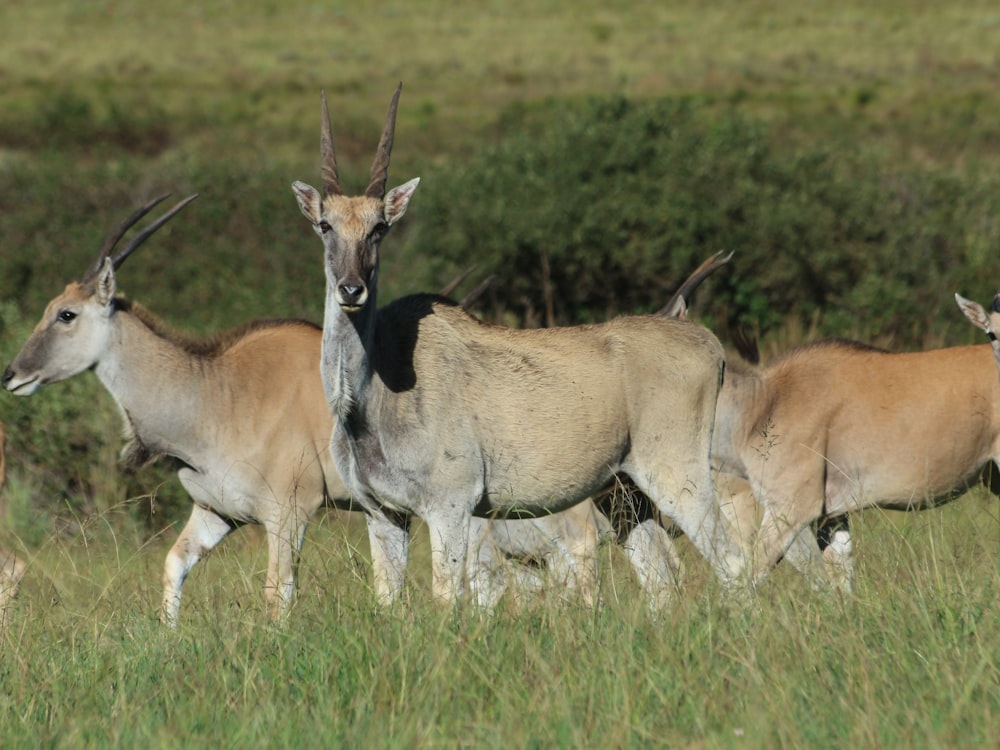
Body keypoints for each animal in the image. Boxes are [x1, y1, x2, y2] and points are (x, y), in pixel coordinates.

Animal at [288, 85, 744, 608]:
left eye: (379, 227)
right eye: (325, 225)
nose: (351, 289)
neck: (371, 396)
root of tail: (708, 344)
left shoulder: (450, 508)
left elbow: (447, 597)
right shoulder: (383, 514)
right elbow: (389, 602)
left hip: (677, 475)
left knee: (732, 560)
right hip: (625, 493)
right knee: (660, 580)